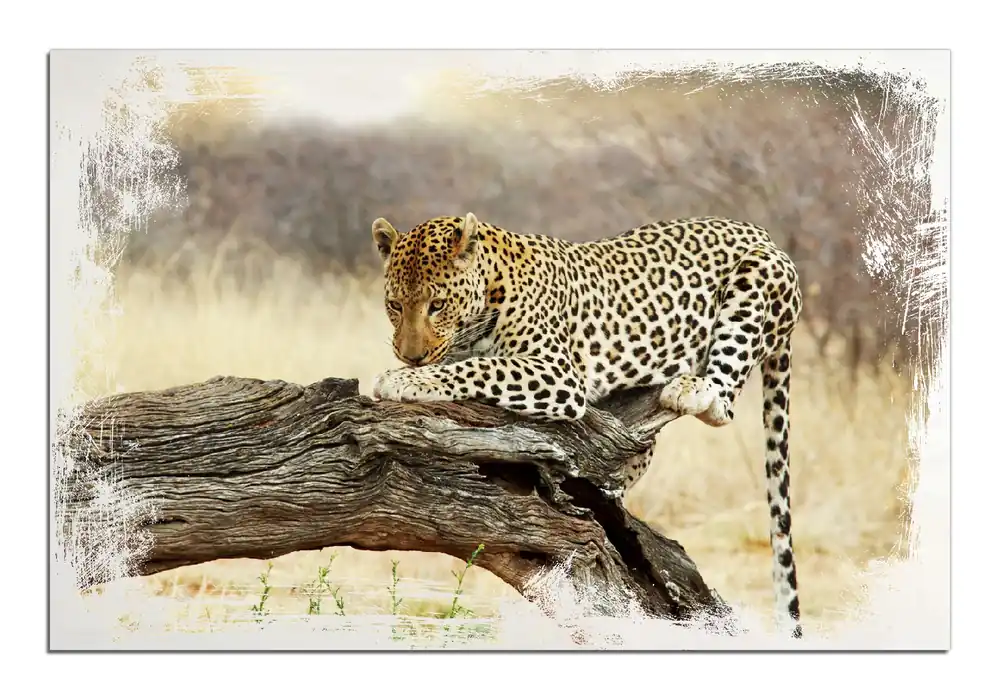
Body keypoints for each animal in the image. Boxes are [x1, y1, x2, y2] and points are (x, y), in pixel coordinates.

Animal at [369, 212, 804, 639]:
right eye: (394, 305)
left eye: (437, 305)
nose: (410, 356)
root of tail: (760, 231)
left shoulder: (557, 373)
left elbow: (480, 368)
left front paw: (404, 380)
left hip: (756, 278)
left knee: (723, 402)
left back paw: (692, 390)